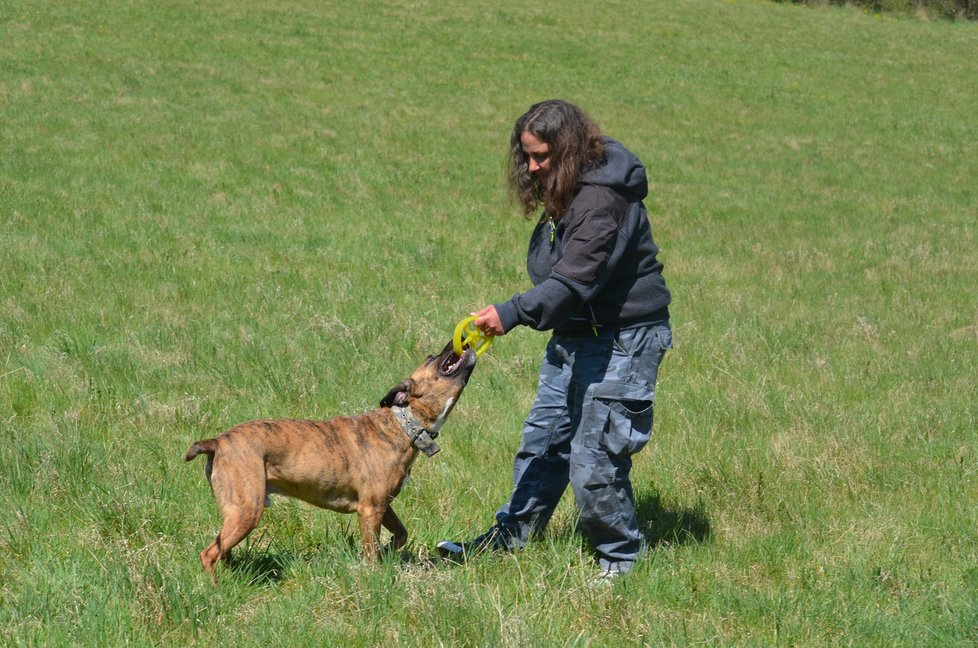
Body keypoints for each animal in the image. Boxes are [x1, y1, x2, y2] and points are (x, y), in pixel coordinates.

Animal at [185, 344, 474, 584]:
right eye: (432, 358)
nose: (460, 343)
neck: (404, 424)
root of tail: (218, 441)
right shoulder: (370, 510)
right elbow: (371, 553)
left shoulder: (383, 505)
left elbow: (400, 535)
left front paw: (387, 552)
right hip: (246, 512)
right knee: (208, 554)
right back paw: (216, 589)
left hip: (238, 513)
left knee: (221, 550)